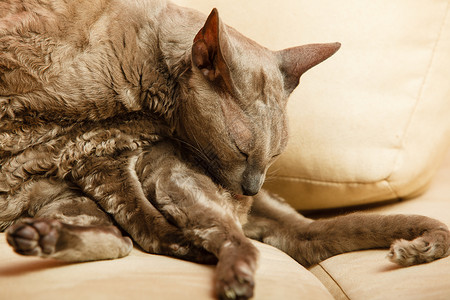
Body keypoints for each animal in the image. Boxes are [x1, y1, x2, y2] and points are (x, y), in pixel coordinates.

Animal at [0, 0, 448, 298]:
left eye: (275, 155)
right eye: (241, 149)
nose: (249, 187)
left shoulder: (100, 156)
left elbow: (145, 229)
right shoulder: (93, 157)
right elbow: (140, 228)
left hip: (154, 181)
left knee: (184, 239)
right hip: (74, 192)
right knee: (130, 236)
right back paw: (39, 237)